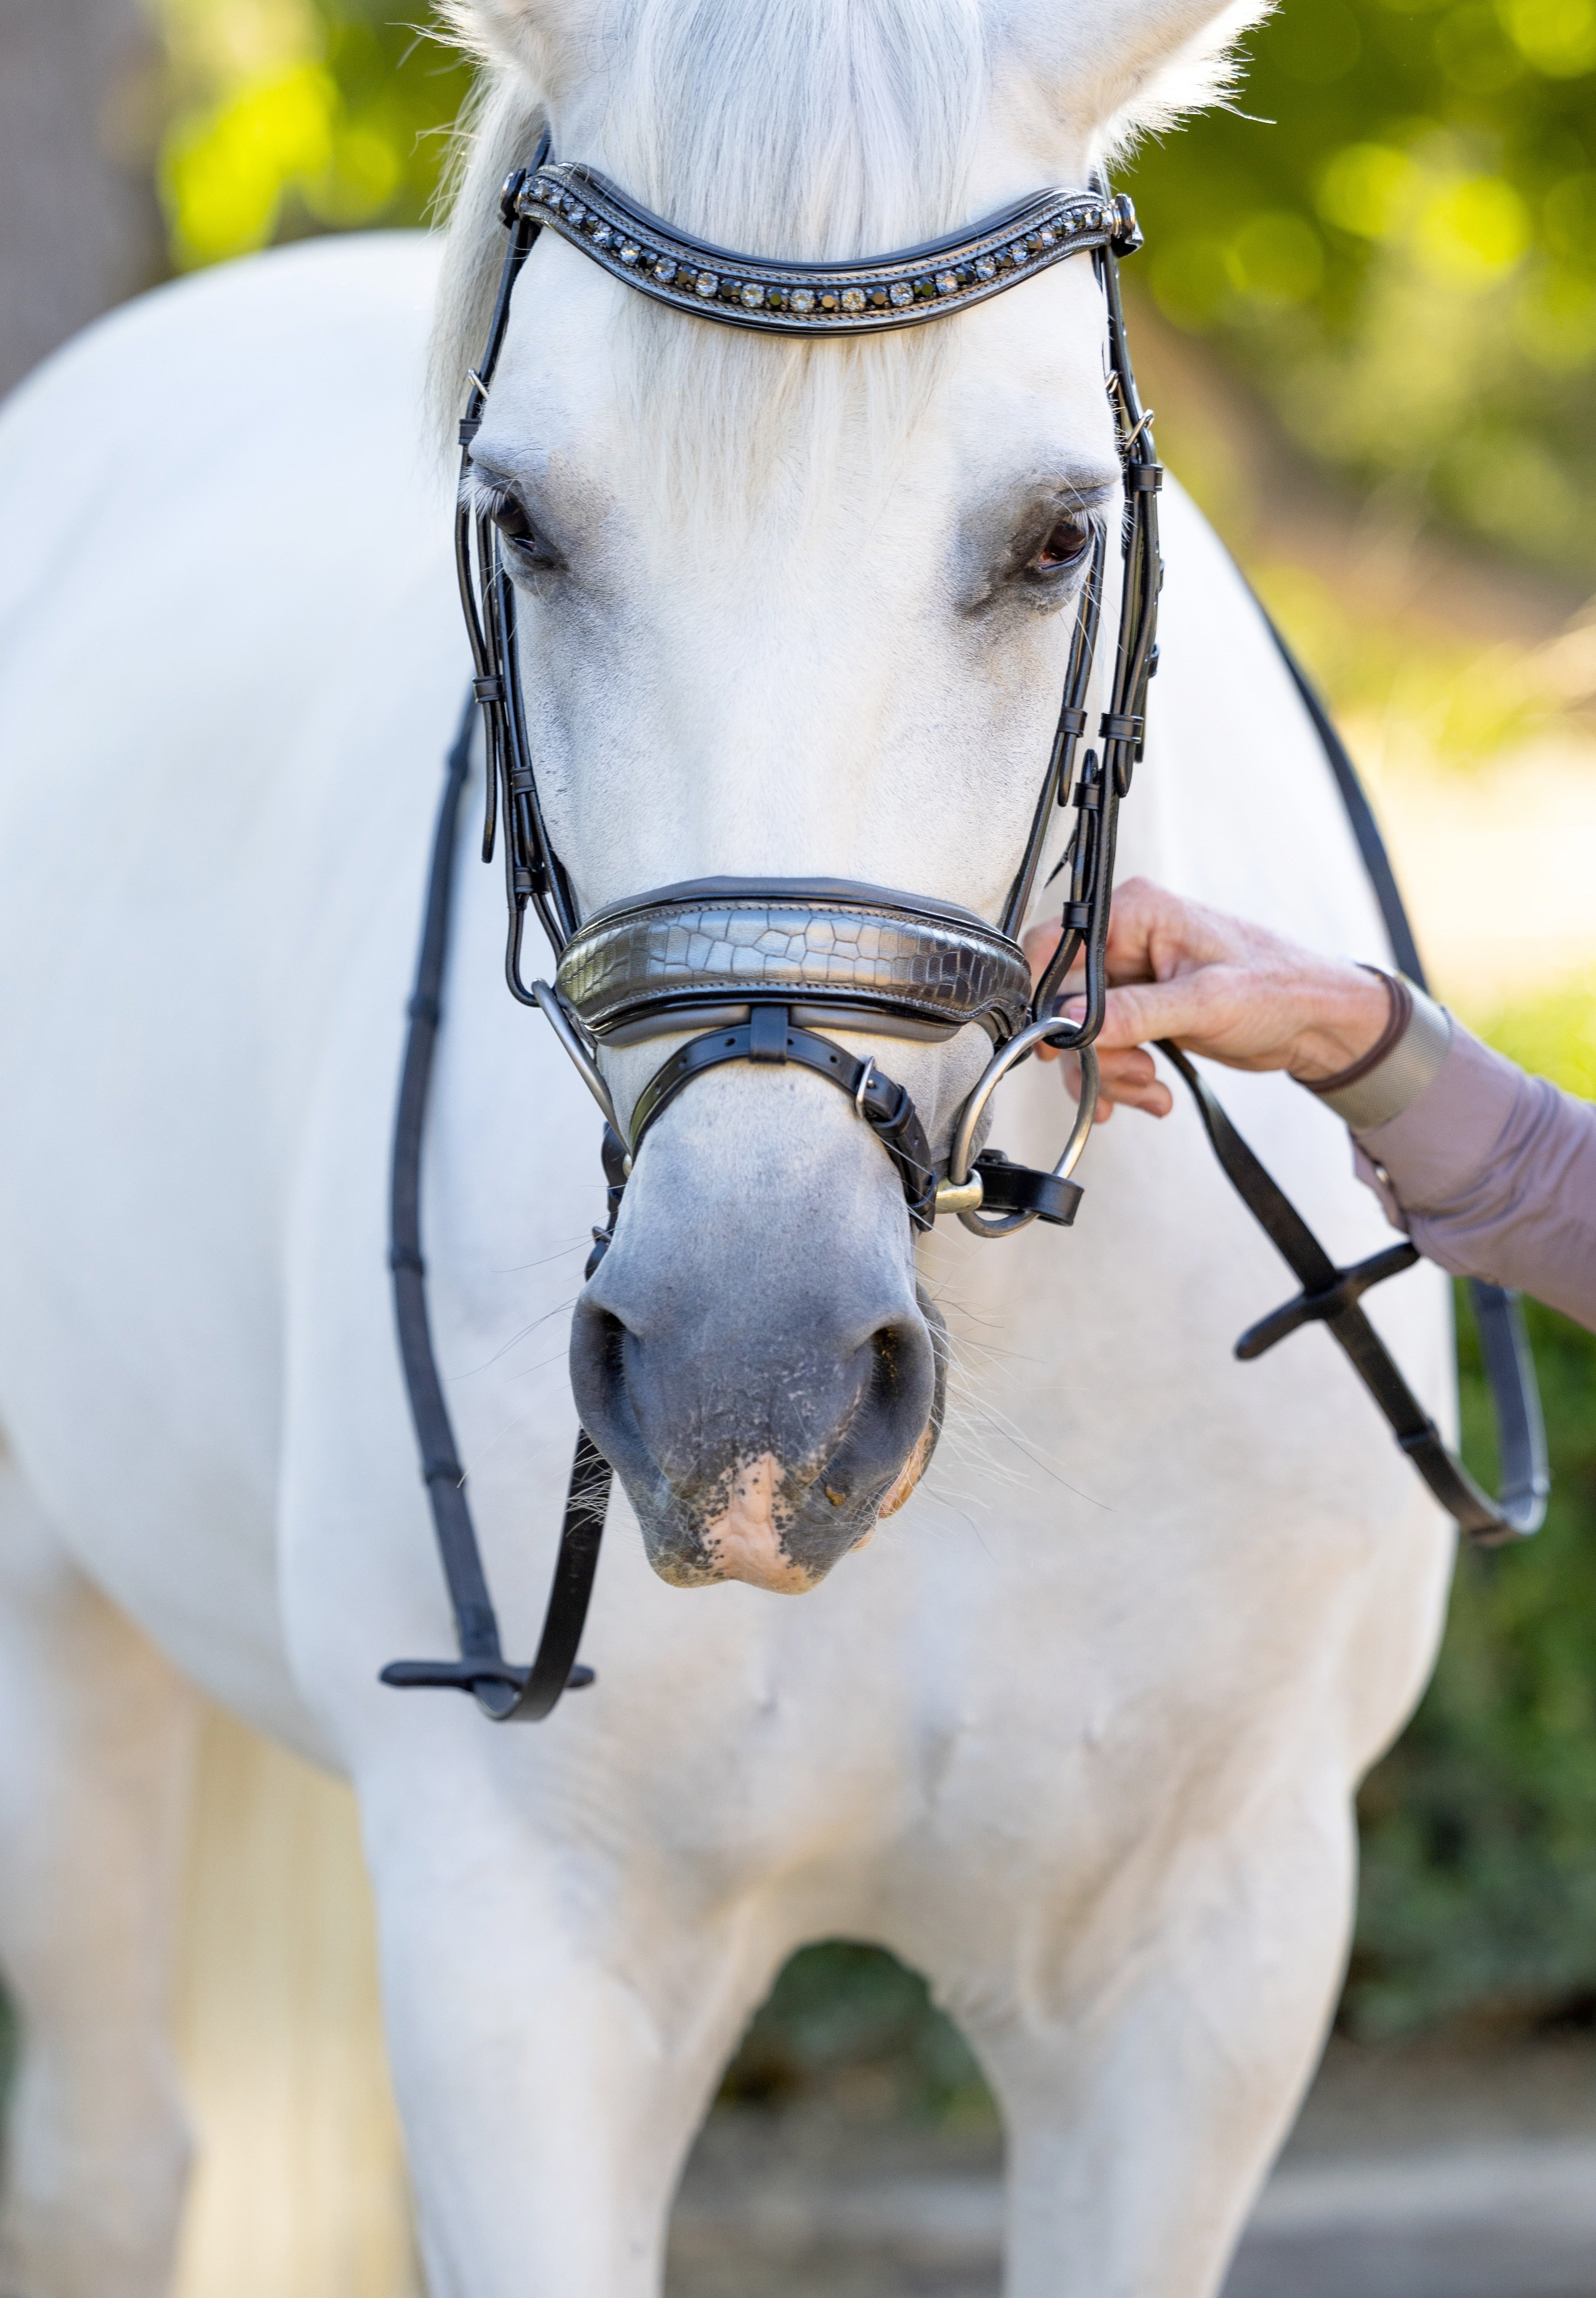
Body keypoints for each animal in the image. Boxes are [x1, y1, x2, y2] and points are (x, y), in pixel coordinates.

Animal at [0, 4, 1462, 2298]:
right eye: (521, 522)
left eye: (1055, 536)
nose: (744, 1387)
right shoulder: (523, 1961)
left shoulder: (1200, 1974)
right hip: (57, 1640)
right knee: (108, 2161)